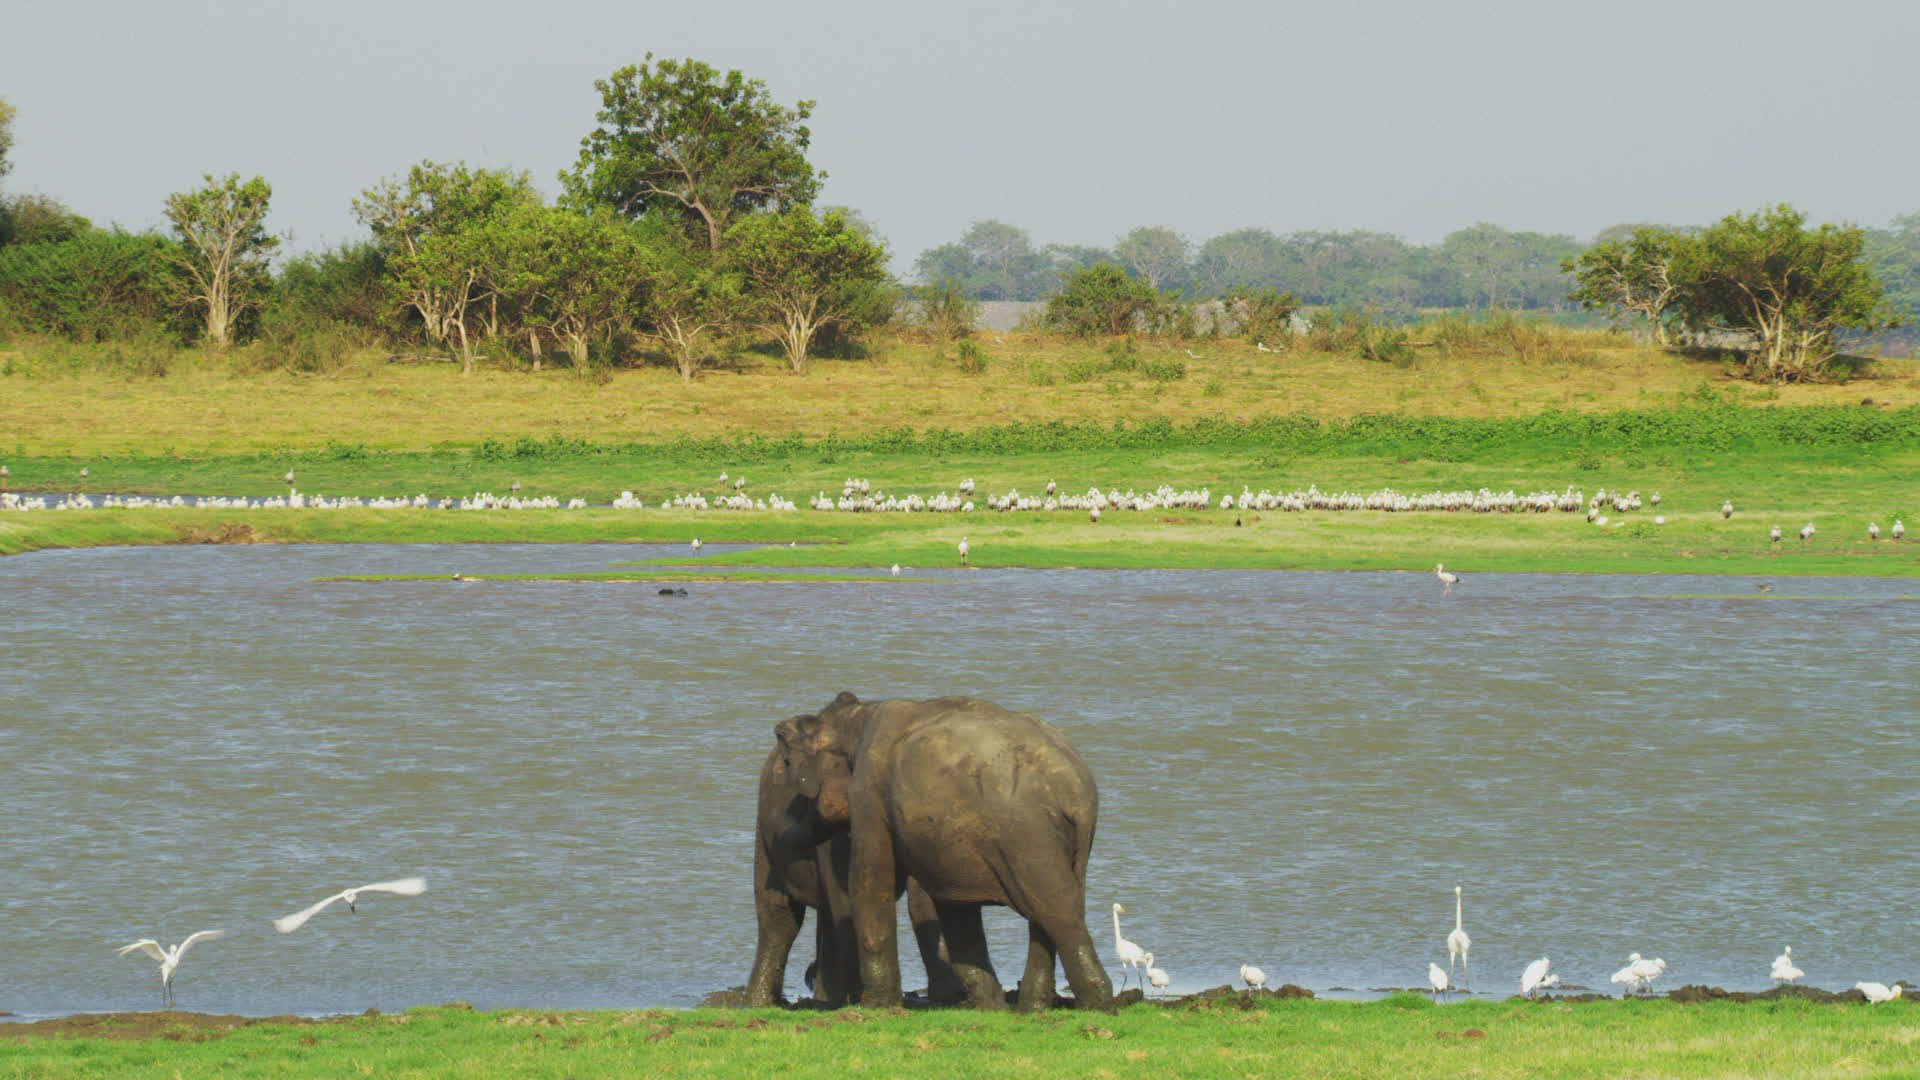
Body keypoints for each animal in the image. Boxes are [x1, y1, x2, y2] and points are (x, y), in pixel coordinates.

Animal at [744, 742, 967, 1007]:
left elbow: (923, 898)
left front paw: (950, 998)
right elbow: (848, 899)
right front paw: (862, 998)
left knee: (823, 916)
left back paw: (825, 1000)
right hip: (763, 833)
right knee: (779, 918)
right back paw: (759, 1003)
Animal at [776, 692, 1115, 1013]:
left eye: (789, 763)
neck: (858, 715)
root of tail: (1076, 790)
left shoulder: (868, 791)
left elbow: (871, 877)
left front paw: (876, 1007)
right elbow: (954, 905)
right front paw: (990, 1008)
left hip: (1027, 834)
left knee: (1057, 911)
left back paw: (1097, 1005)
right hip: (1064, 843)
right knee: (1054, 908)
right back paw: (1032, 1009)